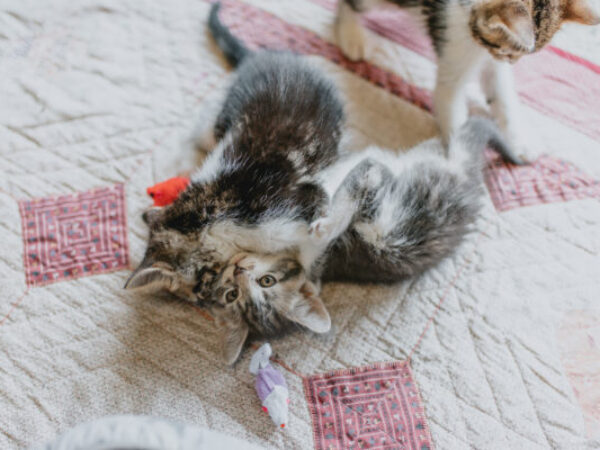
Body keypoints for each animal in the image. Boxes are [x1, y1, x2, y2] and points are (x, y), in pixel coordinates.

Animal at [123, 3, 342, 308]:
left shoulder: (299, 201)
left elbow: (317, 235)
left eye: (198, 285)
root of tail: (259, 57)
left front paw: (311, 280)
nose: (205, 300)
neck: (209, 213)